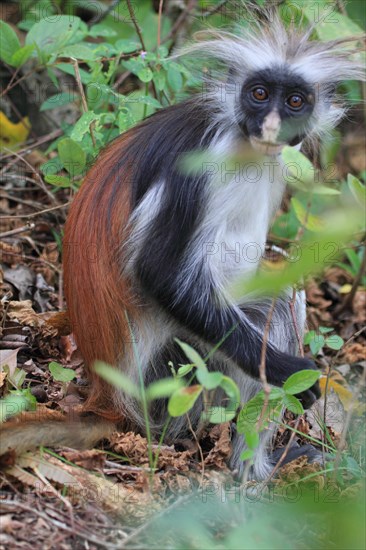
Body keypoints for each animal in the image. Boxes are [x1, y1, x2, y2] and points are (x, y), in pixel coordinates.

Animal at [1, 12, 364, 478]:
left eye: (295, 101)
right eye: (259, 94)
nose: (271, 125)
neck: (243, 142)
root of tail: (106, 399)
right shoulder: (202, 157)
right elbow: (159, 273)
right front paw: (288, 372)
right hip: (174, 378)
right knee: (277, 306)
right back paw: (254, 473)